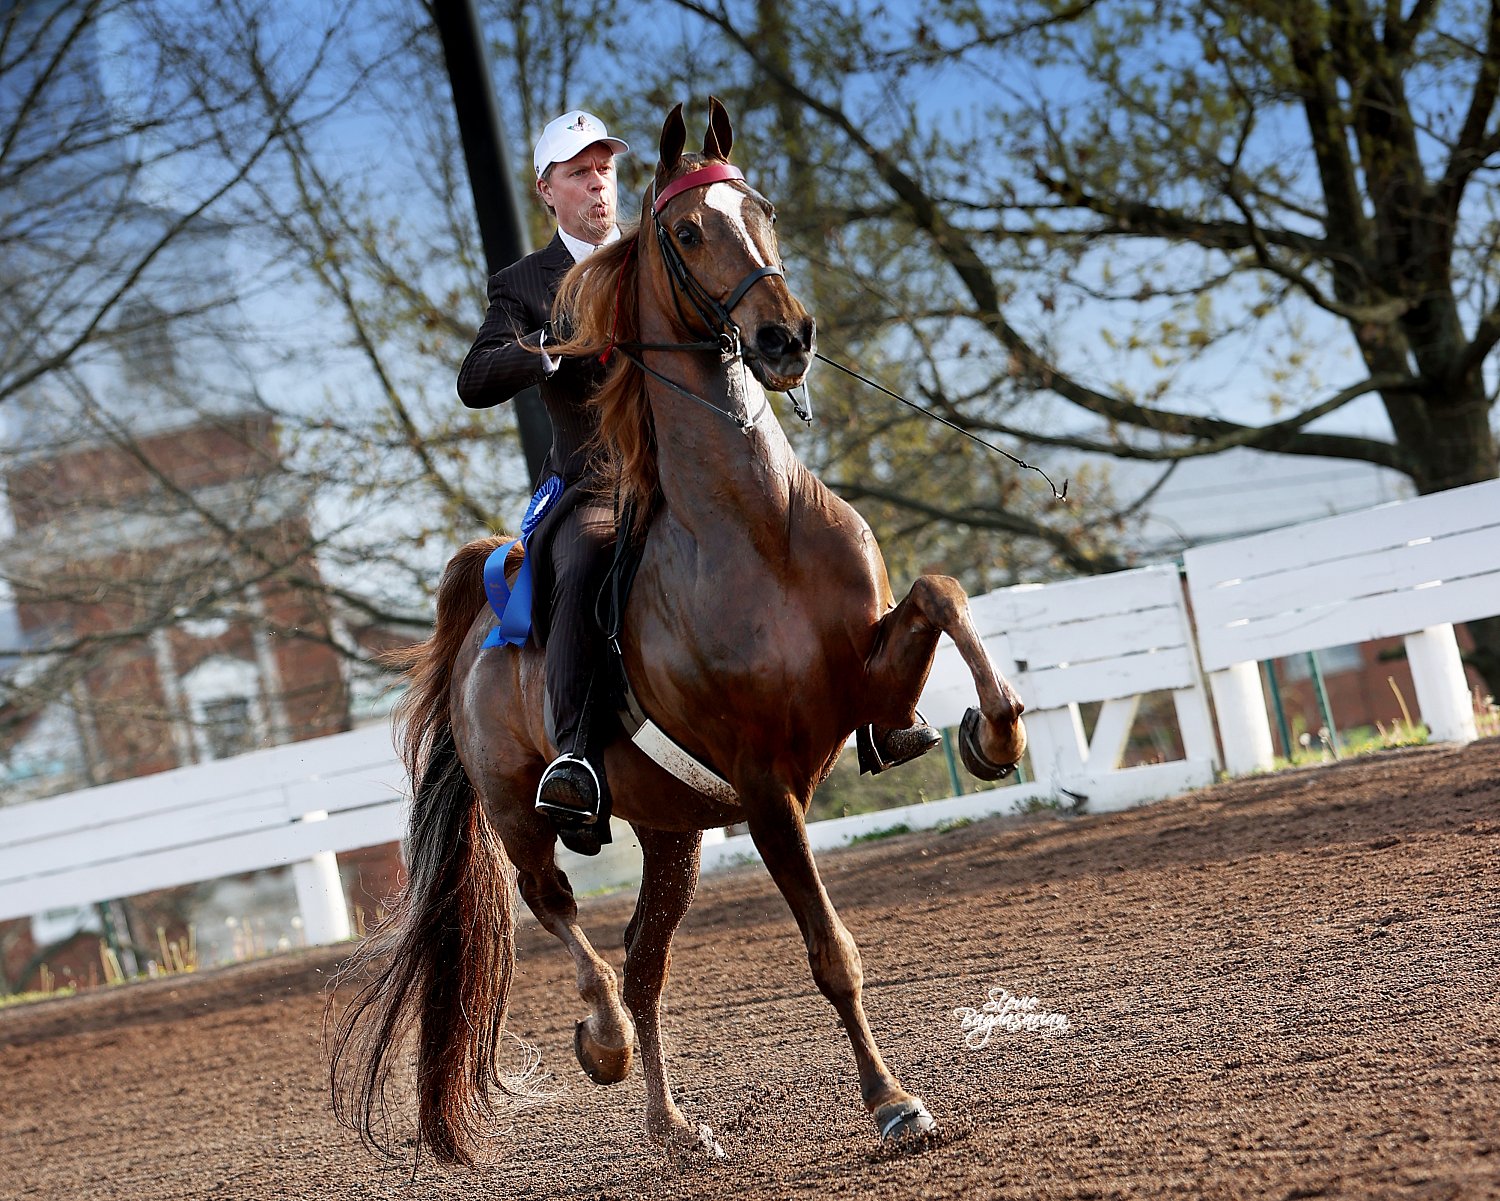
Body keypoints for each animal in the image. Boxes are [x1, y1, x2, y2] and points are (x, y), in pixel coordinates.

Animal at [333, 98, 1026, 1169]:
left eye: (763, 208)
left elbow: (940, 592)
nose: (786, 336)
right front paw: (892, 1102)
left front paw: (993, 732)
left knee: (643, 960)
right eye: (691, 230)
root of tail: (484, 608)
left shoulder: (860, 683)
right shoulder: (765, 779)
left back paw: (670, 1123)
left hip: (673, 834)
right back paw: (604, 1042)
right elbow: (830, 951)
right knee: (561, 916)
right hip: (524, 813)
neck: (758, 522)